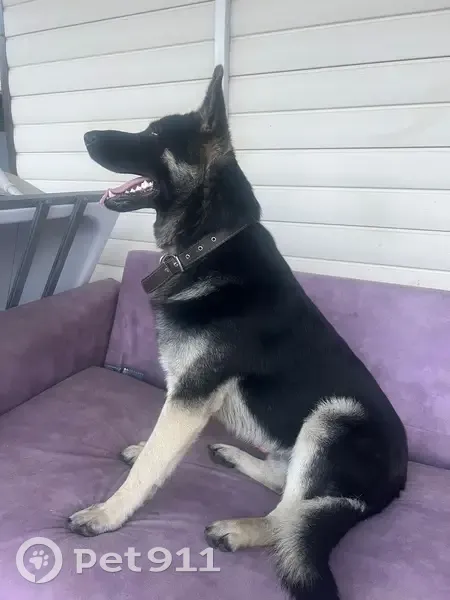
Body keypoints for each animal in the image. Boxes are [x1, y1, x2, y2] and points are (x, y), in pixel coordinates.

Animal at [69, 65, 408, 600]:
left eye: (153, 136)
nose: (86, 136)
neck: (208, 244)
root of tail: (397, 484)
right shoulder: (184, 395)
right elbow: (160, 446)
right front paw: (146, 449)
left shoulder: (191, 394)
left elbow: (152, 464)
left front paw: (107, 514)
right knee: (285, 486)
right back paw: (234, 456)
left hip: (334, 416)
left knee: (291, 519)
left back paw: (241, 528)